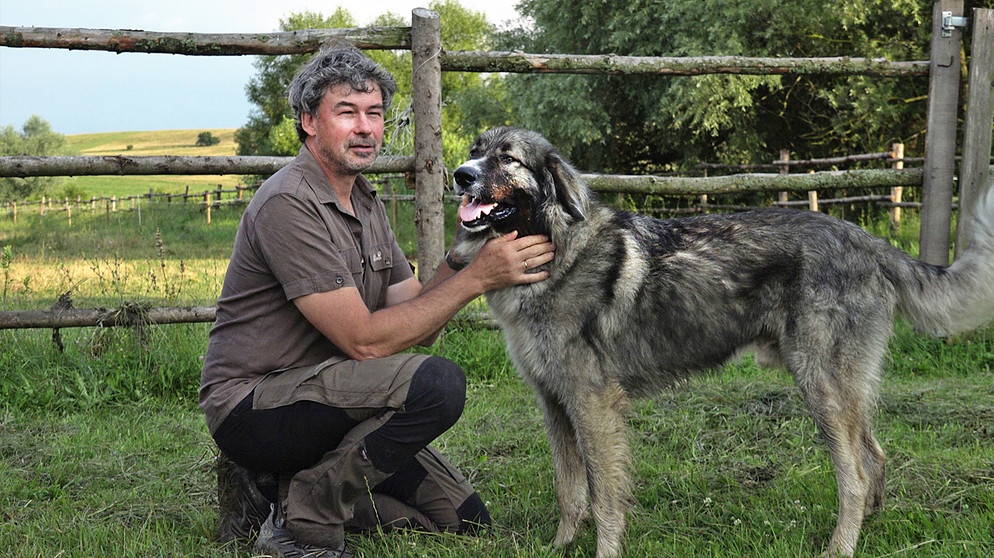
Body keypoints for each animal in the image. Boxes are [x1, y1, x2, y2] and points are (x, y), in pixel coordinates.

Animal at [450, 128, 992, 558]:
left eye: (508, 158)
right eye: (476, 151)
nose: (460, 175)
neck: (554, 248)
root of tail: (868, 241)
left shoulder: (592, 404)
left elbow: (603, 497)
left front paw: (604, 550)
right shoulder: (554, 403)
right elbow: (569, 490)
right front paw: (561, 546)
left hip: (821, 390)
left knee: (854, 476)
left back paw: (840, 546)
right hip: (843, 393)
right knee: (875, 457)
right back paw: (869, 529)